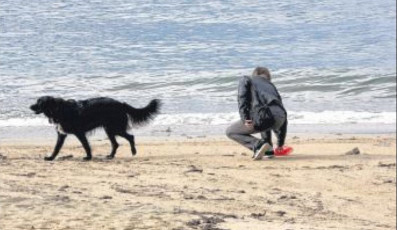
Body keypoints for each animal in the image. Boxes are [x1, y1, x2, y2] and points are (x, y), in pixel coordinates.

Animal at [30, 96, 161, 161]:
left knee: (130, 137)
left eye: (39, 102)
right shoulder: (61, 134)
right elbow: (56, 148)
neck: (59, 109)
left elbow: (86, 146)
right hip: (109, 129)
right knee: (116, 143)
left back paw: (133, 151)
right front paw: (51, 157)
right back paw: (111, 156)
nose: (30, 106)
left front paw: (88, 157)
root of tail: (121, 104)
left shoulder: (80, 133)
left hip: (114, 127)